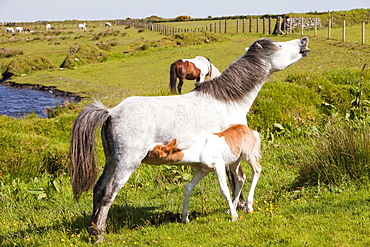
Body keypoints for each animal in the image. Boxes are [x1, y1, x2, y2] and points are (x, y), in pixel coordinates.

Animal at [69, 37, 310, 239]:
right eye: (279, 45)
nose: (303, 41)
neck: (227, 100)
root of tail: (111, 112)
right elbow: (235, 178)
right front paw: (240, 206)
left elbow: (236, 178)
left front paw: (237, 206)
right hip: (127, 163)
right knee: (108, 193)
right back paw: (99, 234)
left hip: (112, 161)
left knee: (98, 189)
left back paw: (92, 228)